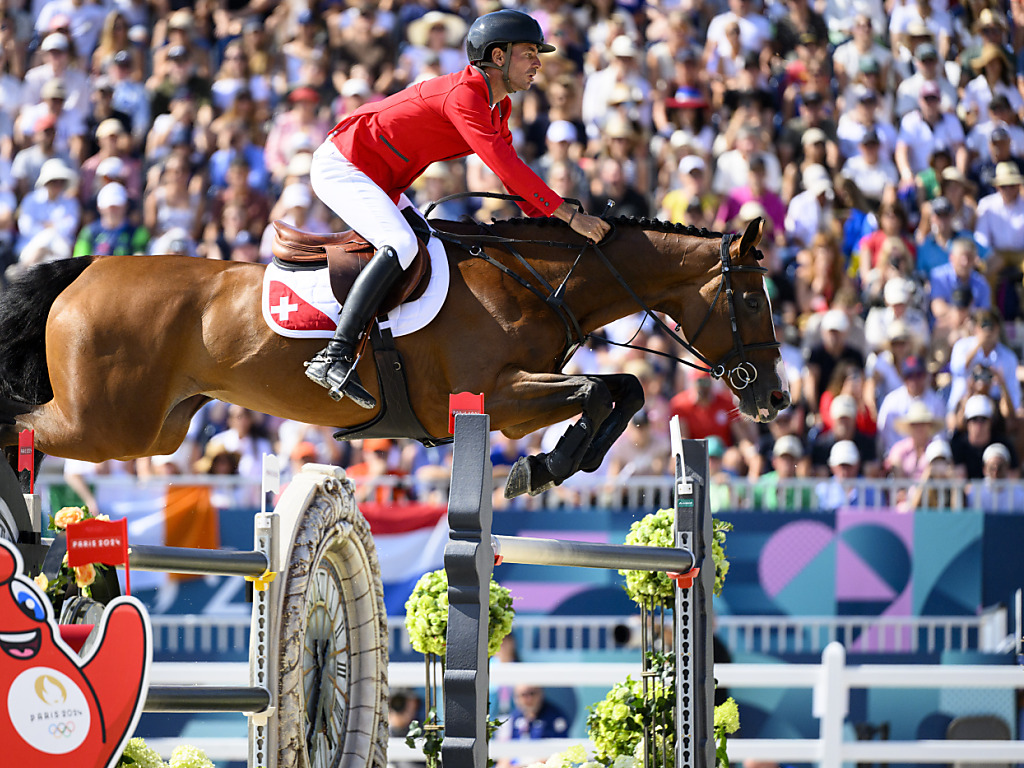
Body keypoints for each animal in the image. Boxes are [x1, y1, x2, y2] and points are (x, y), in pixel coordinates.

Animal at [0, 215, 790, 499]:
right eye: (754, 300)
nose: (776, 399)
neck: (533, 279)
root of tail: (87, 268)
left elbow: (623, 391)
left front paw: (555, 465)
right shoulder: (495, 400)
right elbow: (604, 391)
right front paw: (539, 468)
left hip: (156, 430)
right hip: (108, 424)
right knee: (21, 427)